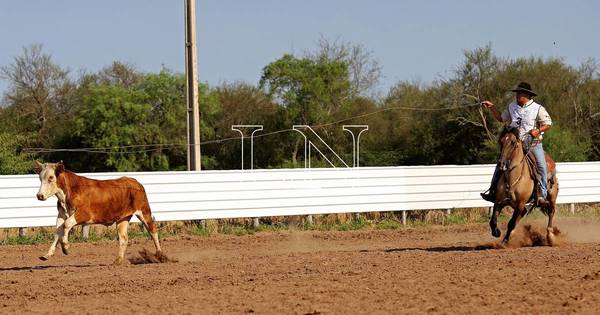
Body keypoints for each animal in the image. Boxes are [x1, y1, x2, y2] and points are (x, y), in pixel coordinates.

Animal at [33, 162, 162, 266]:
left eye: (51, 177)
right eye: (40, 178)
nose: (40, 196)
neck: (70, 191)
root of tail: (136, 182)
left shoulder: (84, 214)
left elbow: (66, 225)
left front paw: (65, 247)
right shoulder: (61, 214)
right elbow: (58, 231)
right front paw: (48, 254)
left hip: (144, 211)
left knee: (153, 230)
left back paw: (159, 255)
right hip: (123, 218)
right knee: (123, 238)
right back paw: (118, 261)